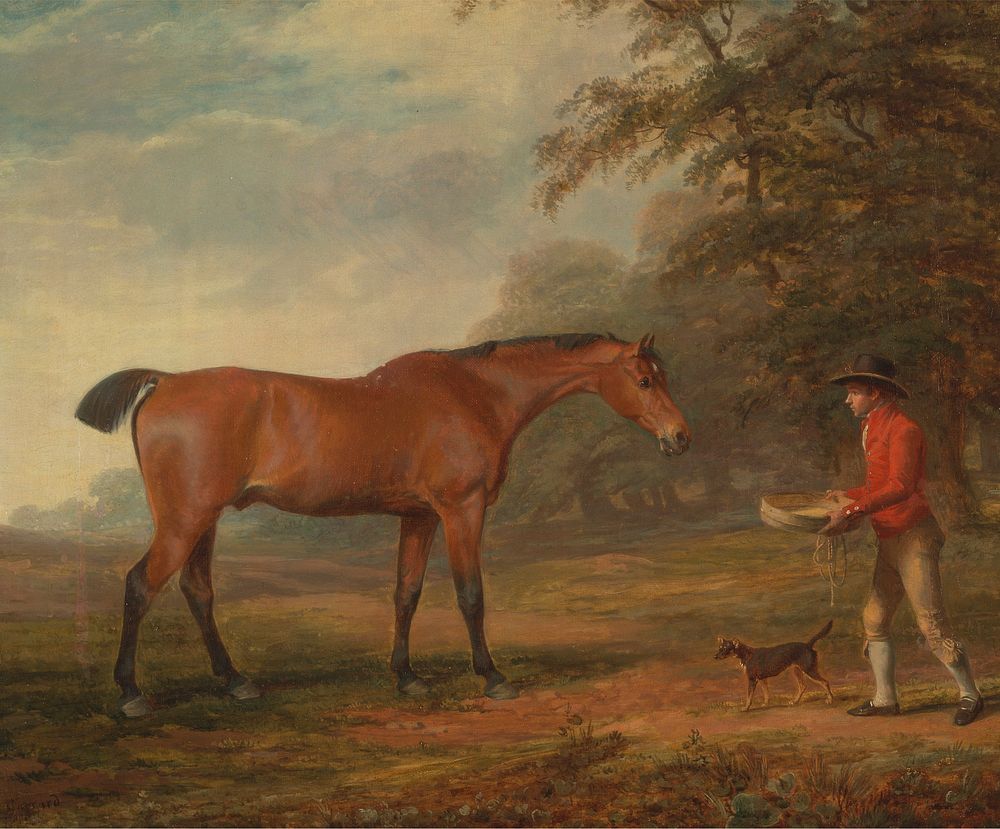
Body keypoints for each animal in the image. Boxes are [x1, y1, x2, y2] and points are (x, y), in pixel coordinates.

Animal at [76, 334, 688, 716]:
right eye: (643, 380)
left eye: (661, 376)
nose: (680, 437)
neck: (474, 394)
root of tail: (166, 381)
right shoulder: (461, 510)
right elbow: (470, 595)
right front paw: (493, 678)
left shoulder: (418, 517)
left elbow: (406, 593)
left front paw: (407, 676)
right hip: (184, 521)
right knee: (140, 585)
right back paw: (131, 694)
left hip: (204, 520)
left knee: (197, 590)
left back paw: (236, 682)